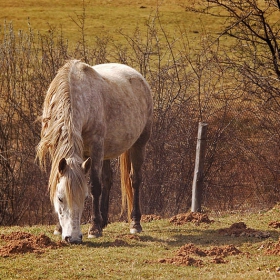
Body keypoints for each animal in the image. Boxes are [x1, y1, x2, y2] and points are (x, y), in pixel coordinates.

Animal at [36, 60, 153, 244]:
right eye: (60, 198)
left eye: (84, 198)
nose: (73, 238)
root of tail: (139, 77)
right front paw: (58, 228)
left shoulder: (96, 147)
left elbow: (95, 186)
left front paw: (94, 228)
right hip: (107, 151)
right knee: (108, 179)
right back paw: (105, 221)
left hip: (139, 144)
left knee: (135, 180)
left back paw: (135, 223)